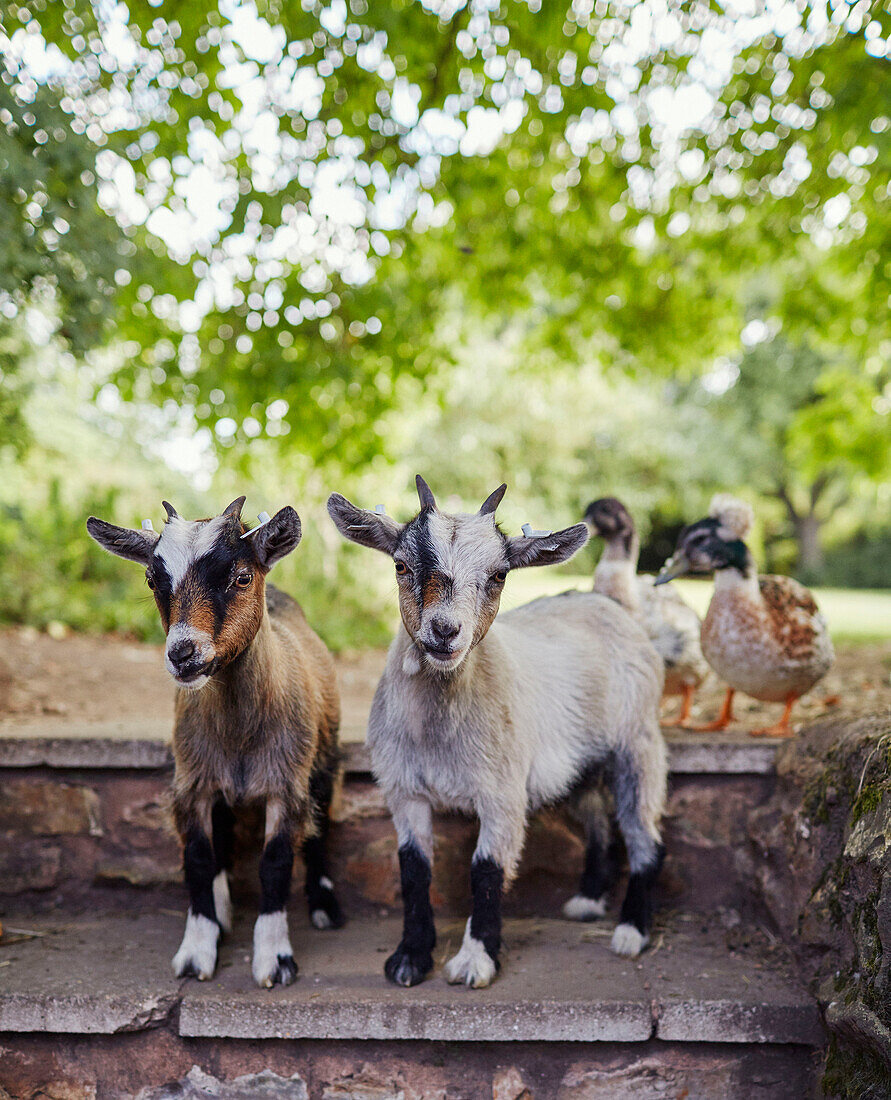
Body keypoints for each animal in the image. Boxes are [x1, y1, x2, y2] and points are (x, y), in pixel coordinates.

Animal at [86, 499, 341, 990]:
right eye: (152, 580)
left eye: (241, 576)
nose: (183, 654)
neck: (239, 732)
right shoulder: (192, 785)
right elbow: (199, 859)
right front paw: (196, 952)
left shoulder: (286, 784)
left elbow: (276, 862)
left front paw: (274, 959)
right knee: (222, 833)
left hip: (325, 756)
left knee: (320, 823)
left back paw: (324, 906)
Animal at [330, 477, 664, 994]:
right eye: (401, 565)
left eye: (500, 575)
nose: (445, 630)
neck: (440, 730)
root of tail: (611, 604)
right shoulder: (403, 789)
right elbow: (413, 869)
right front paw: (410, 958)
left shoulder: (502, 794)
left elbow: (486, 870)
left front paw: (475, 960)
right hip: (578, 764)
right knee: (597, 820)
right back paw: (588, 900)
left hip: (638, 744)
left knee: (643, 833)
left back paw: (632, 930)